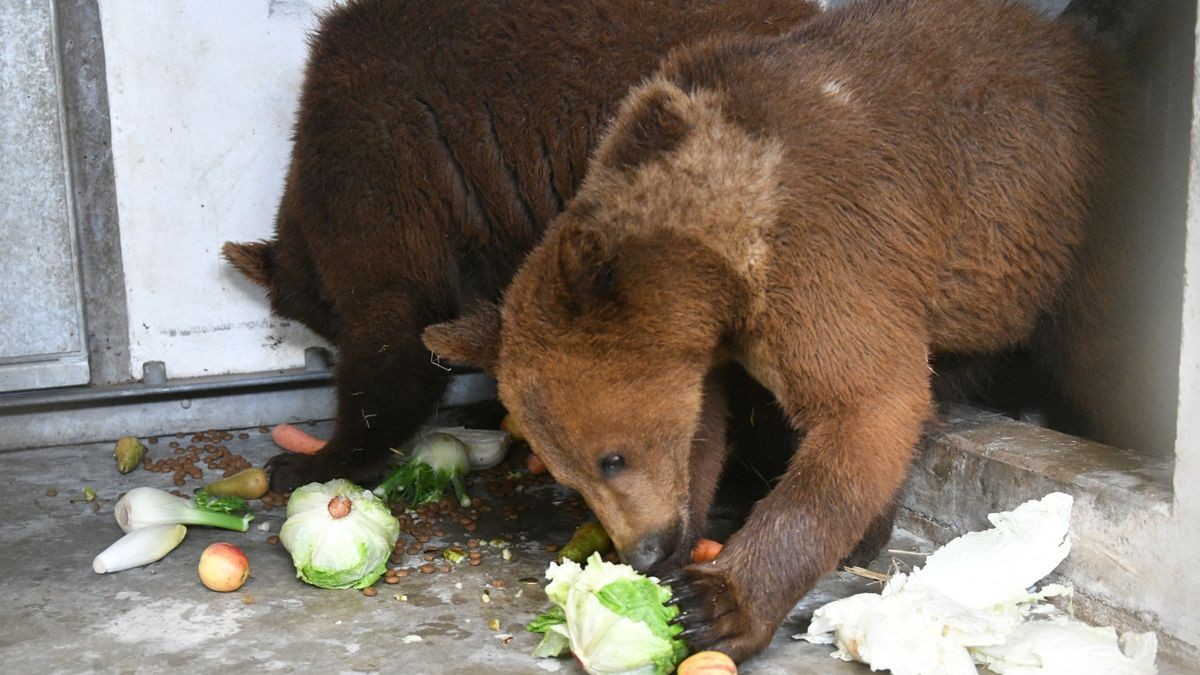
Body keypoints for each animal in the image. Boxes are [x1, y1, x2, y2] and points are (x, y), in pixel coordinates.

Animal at [424, 0, 1123, 658]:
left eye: (611, 457)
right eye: (568, 473)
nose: (646, 548)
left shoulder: (826, 252)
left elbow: (867, 408)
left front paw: (715, 603)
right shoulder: (706, 345)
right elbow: (706, 426)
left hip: (1065, 228)